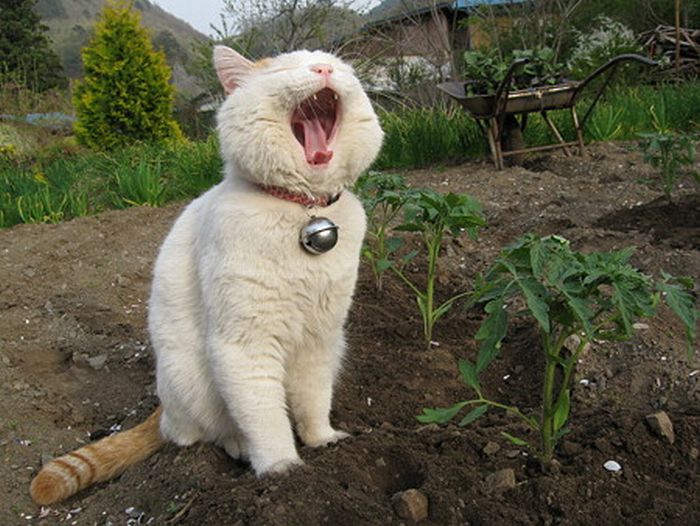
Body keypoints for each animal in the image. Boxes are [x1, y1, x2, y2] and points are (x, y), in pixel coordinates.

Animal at [28, 45, 382, 508]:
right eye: (289, 68)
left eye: (340, 68)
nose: (323, 69)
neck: (303, 211)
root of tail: (162, 403)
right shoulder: (245, 347)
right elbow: (266, 418)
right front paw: (283, 471)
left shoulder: (320, 338)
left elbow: (313, 399)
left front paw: (323, 441)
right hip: (193, 376)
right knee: (197, 433)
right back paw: (238, 447)